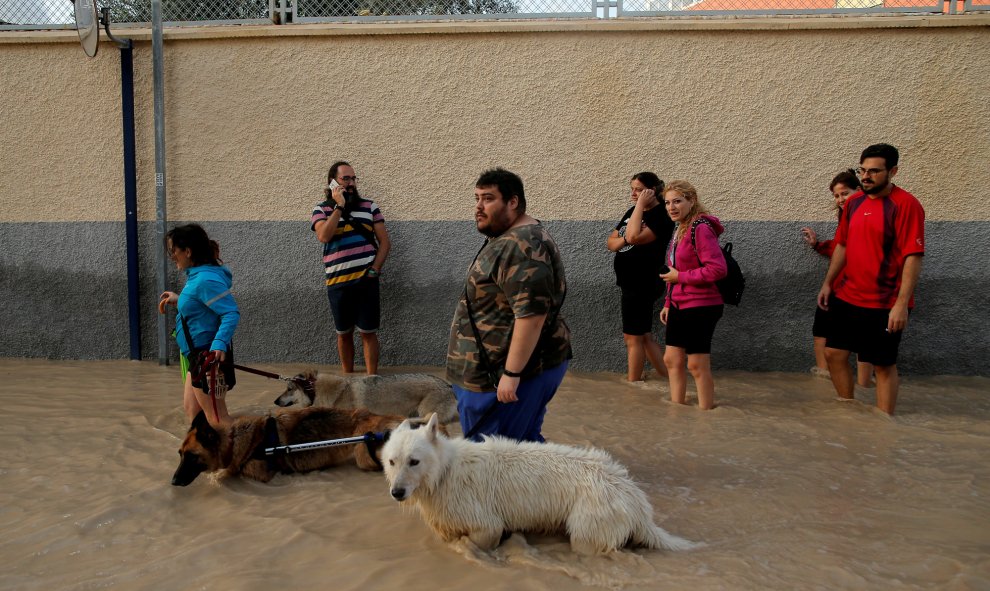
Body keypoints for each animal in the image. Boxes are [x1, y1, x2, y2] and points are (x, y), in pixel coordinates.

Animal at [380, 416, 696, 556]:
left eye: (414, 461)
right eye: (392, 461)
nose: (397, 493)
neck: (444, 472)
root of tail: (636, 498)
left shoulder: (484, 521)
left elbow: (483, 537)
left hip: (590, 518)